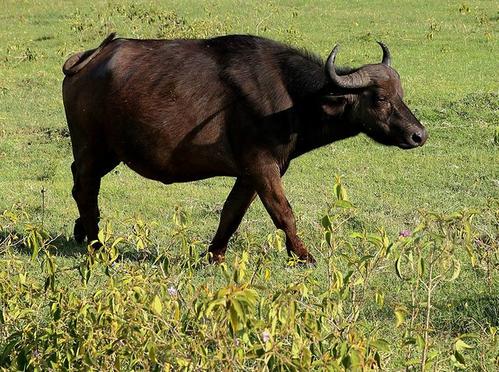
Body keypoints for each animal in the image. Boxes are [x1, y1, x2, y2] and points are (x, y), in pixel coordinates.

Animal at [62, 33, 428, 264]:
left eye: (400, 94)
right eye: (379, 98)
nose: (418, 135)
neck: (291, 97)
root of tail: (87, 60)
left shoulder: (251, 173)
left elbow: (232, 212)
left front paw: (215, 255)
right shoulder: (262, 167)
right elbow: (283, 213)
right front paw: (303, 256)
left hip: (109, 153)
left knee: (78, 183)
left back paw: (82, 232)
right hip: (92, 149)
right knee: (85, 189)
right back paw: (95, 243)